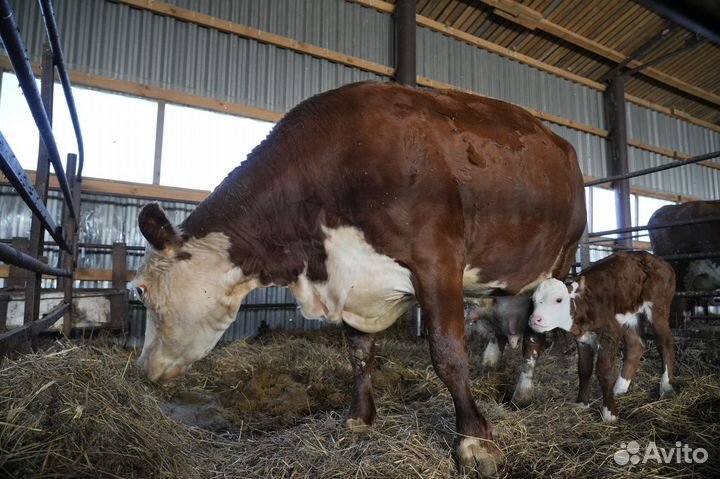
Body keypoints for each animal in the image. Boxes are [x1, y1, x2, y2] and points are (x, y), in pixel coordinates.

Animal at [132, 81, 586, 475]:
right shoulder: (351, 282)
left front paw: (475, 443)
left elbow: (448, 354)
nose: (142, 370)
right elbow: (359, 352)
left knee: (535, 336)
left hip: (561, 260)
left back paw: (523, 391)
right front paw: (360, 418)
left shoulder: (437, 261)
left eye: (141, 291)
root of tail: (559, 143)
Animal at [528, 251, 676, 422]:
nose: (535, 319)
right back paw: (620, 387)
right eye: (533, 301)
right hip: (630, 314)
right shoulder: (583, 338)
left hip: (658, 307)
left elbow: (603, 370)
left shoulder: (610, 331)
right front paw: (582, 403)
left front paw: (609, 413)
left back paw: (666, 388)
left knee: (665, 344)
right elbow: (584, 369)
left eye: (559, 300)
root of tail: (660, 261)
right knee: (635, 346)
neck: (584, 305)